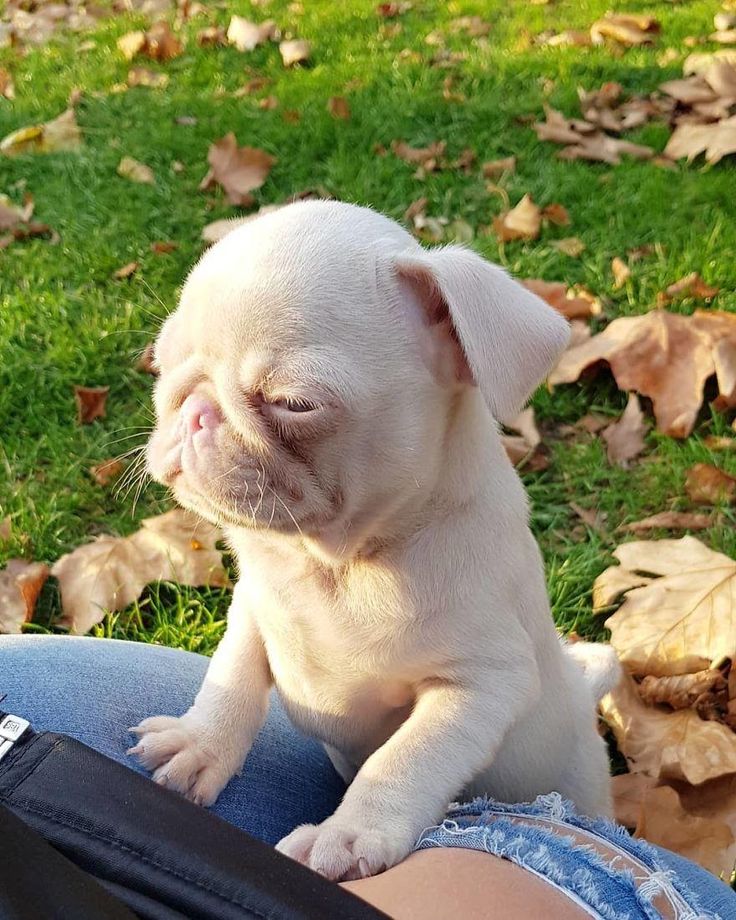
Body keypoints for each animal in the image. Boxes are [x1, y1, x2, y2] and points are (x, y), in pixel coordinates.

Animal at [131, 203, 616, 884]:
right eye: (160, 363)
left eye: (295, 403)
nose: (195, 410)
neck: (339, 563)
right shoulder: (255, 607)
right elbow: (232, 679)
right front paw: (200, 744)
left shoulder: (481, 686)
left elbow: (405, 758)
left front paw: (349, 834)